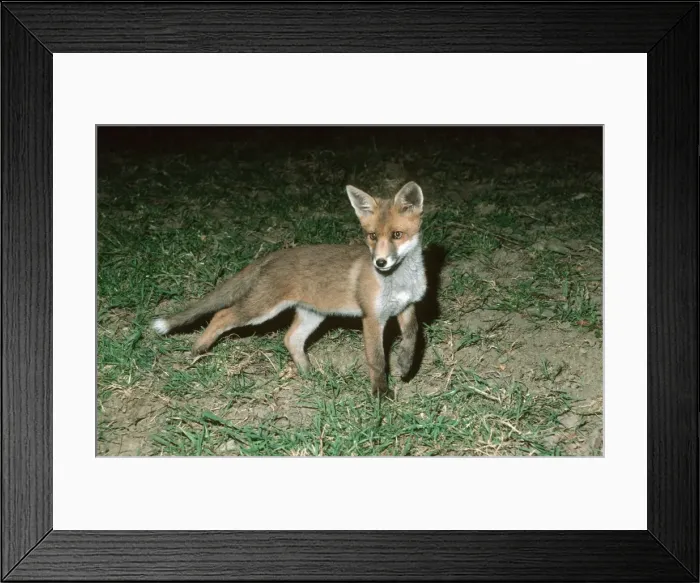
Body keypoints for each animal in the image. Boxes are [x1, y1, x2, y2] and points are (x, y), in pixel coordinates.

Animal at [151, 181, 428, 396]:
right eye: (372, 236)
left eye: (397, 235)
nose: (380, 262)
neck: (400, 281)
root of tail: (275, 254)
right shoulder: (372, 318)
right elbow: (377, 360)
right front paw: (381, 395)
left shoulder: (407, 306)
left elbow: (412, 335)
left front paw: (405, 364)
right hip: (262, 309)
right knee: (222, 315)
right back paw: (199, 349)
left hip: (312, 315)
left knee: (290, 338)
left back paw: (307, 373)